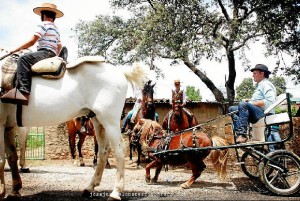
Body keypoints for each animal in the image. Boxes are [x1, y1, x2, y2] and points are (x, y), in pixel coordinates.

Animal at [0, 56, 148, 199]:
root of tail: (120, 72)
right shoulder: (7, 126)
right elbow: (11, 157)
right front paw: (15, 190)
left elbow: (2, 160)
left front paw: (3, 192)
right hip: (98, 122)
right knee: (102, 151)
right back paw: (90, 187)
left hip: (109, 121)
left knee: (119, 150)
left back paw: (115, 192)